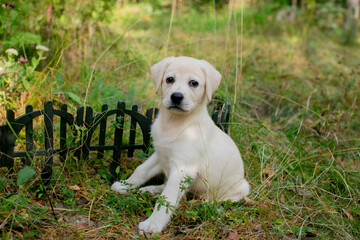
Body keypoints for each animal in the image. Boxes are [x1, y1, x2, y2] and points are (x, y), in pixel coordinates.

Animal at [111, 56, 249, 232]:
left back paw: (205, 203)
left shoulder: (183, 168)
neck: (173, 123)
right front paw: (126, 185)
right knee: (164, 185)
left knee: (227, 198)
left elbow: (167, 199)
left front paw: (152, 224)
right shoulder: (160, 154)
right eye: (170, 79)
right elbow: (141, 170)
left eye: (194, 83)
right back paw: (151, 189)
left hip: (241, 187)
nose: (176, 97)